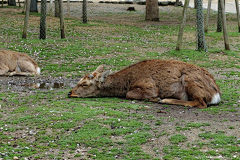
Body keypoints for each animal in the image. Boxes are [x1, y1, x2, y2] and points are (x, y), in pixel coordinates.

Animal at [68, 59, 221, 109]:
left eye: (85, 84)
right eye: (79, 81)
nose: (70, 92)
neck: (129, 80)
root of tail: (216, 94)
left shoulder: (149, 86)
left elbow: (129, 94)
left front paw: (156, 98)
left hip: (190, 81)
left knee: (201, 103)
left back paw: (165, 100)